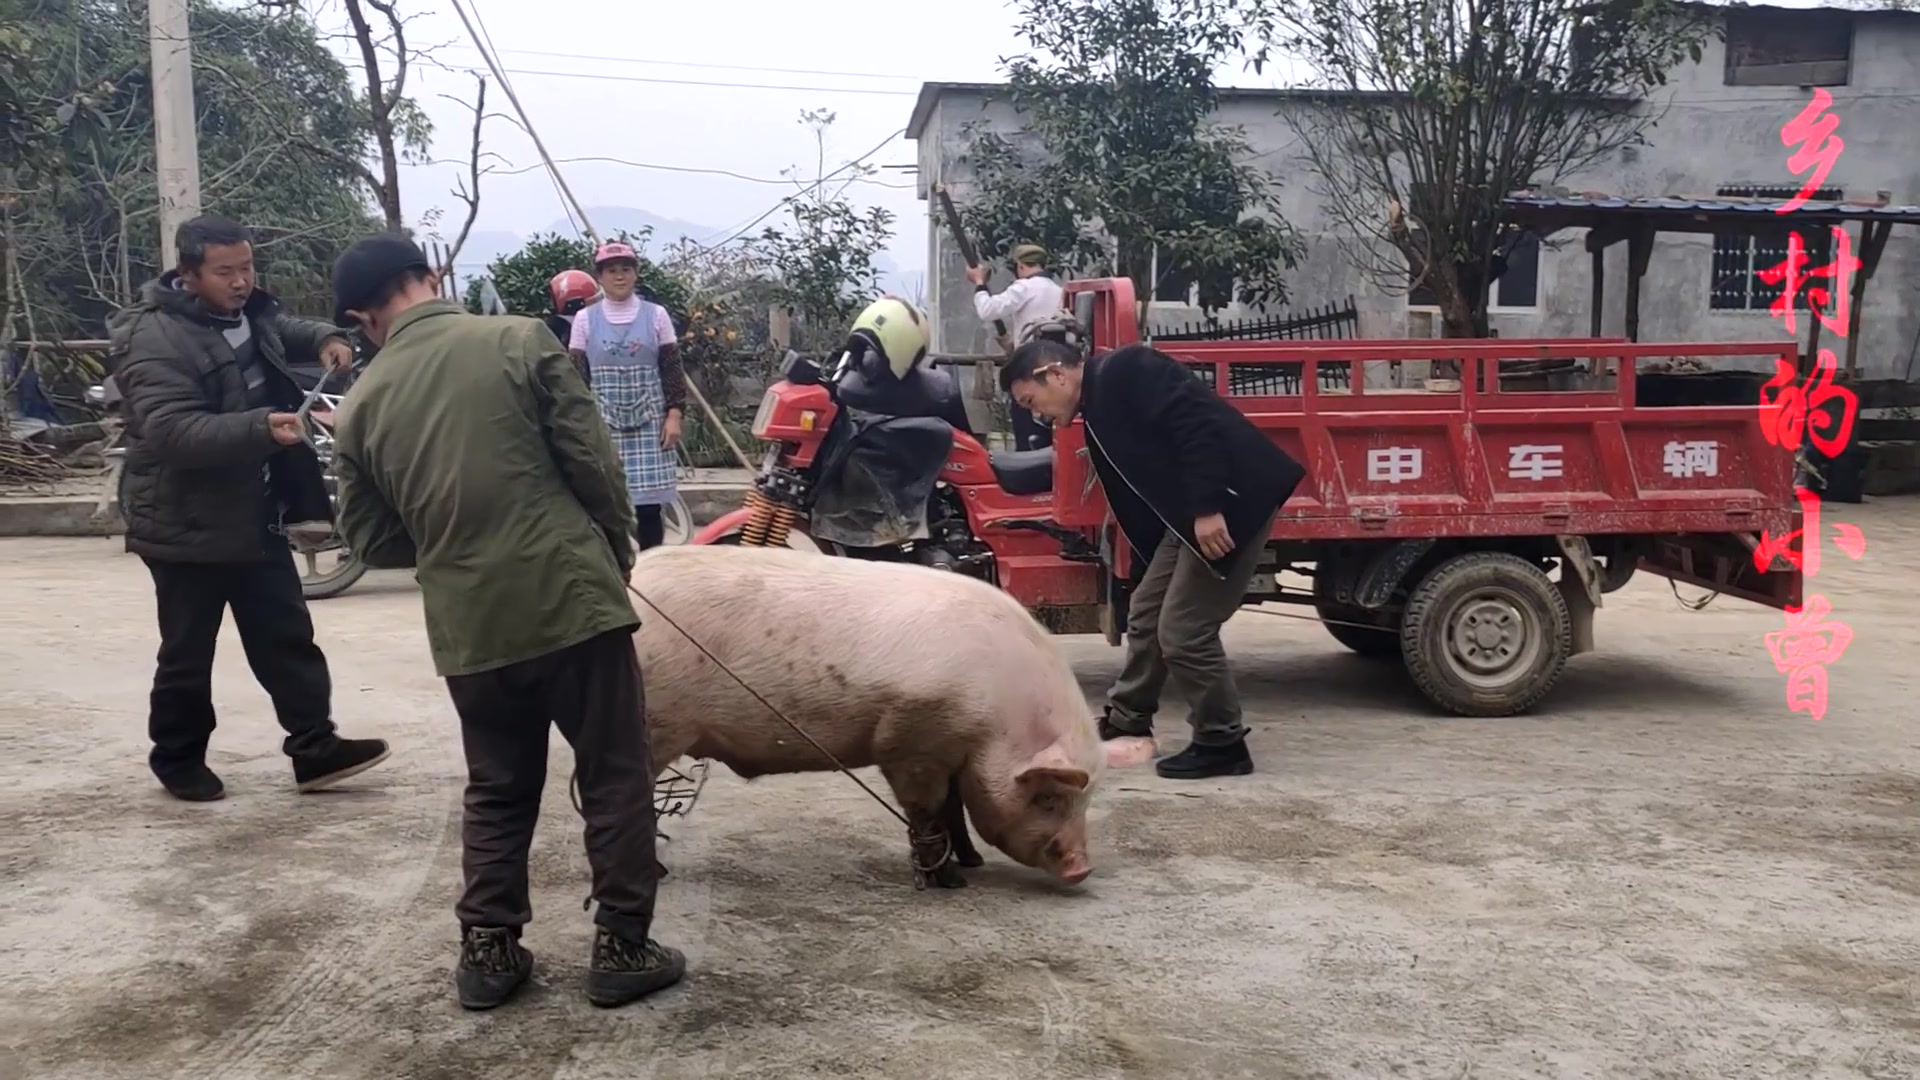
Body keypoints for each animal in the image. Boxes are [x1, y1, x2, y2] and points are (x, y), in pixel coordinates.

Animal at [629, 541, 1136, 887]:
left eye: (1087, 800)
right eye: (1047, 798)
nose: (1082, 868)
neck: (1000, 714)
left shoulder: (953, 752)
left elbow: (954, 807)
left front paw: (971, 863)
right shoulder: (911, 739)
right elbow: (927, 811)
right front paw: (949, 882)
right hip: (659, 723)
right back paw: (657, 873)